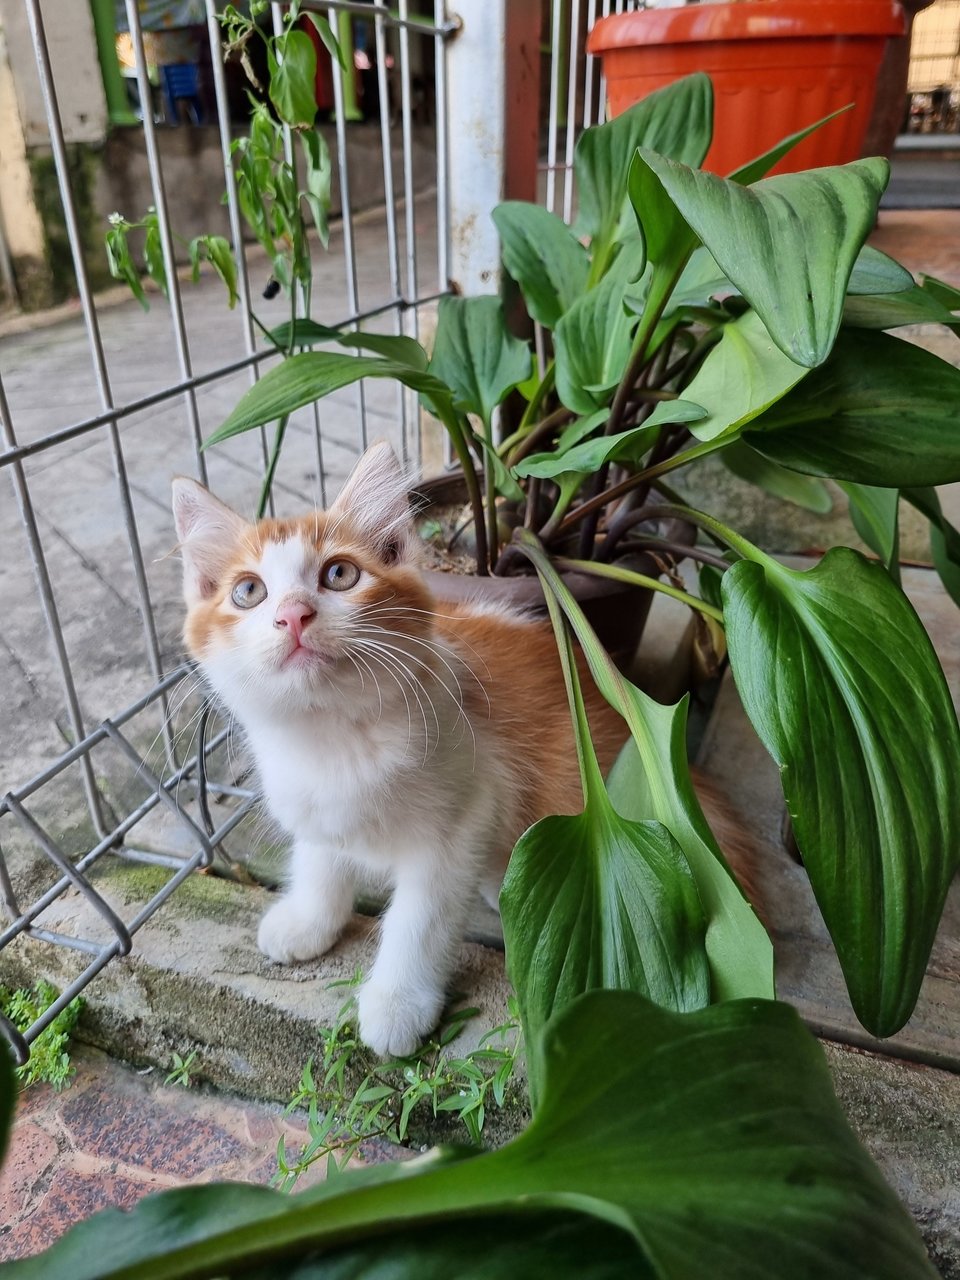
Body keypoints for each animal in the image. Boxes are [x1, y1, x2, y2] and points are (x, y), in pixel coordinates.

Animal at [172, 445, 757, 1054]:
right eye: (248, 592)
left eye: (339, 574)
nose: (293, 614)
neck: (332, 737)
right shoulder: (313, 805)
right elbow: (320, 858)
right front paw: (310, 919)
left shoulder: (462, 816)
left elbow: (420, 920)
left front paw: (397, 1003)